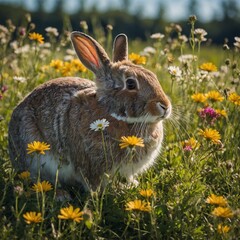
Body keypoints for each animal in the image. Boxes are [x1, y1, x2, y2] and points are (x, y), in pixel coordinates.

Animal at [8, 31, 172, 190]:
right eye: (131, 84)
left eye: (153, 76)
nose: (165, 106)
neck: (113, 114)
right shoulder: (90, 166)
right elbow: (92, 183)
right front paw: (98, 194)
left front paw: (131, 185)